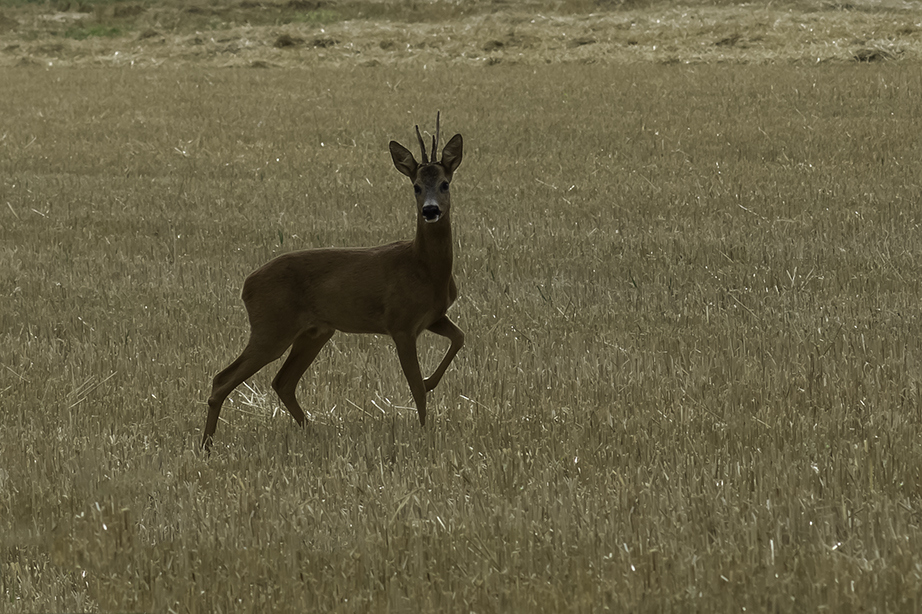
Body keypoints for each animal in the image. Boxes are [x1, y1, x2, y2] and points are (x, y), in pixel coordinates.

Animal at [200, 116, 460, 452]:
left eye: (445, 183)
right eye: (416, 186)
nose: (430, 210)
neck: (424, 269)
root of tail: (246, 285)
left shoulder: (434, 317)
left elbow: (459, 338)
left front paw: (431, 383)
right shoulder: (400, 323)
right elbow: (414, 385)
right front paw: (423, 432)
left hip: (315, 331)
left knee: (282, 381)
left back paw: (312, 433)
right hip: (271, 327)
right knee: (223, 378)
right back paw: (206, 446)